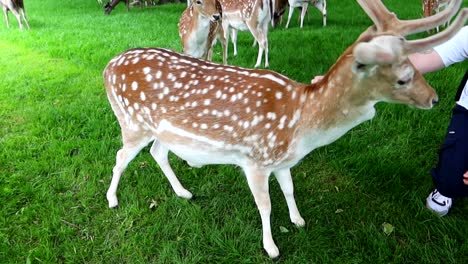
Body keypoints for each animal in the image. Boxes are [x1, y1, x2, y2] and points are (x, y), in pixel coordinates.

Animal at [103, 0, 468, 258]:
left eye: (414, 69)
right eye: (404, 77)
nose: (434, 98)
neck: (301, 124)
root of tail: (107, 67)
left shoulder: (283, 161)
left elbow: (290, 190)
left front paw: (299, 220)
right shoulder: (255, 160)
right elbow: (265, 205)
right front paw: (271, 247)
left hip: (160, 130)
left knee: (157, 152)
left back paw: (184, 192)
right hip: (131, 121)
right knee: (121, 156)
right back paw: (112, 199)